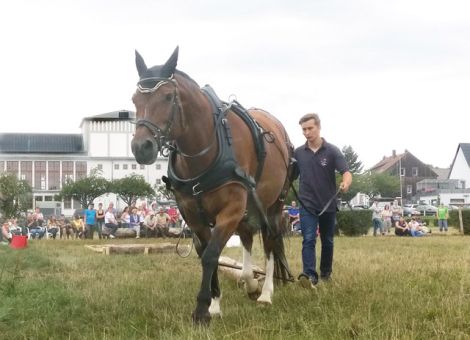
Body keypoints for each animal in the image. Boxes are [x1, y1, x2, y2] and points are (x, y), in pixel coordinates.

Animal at [131, 47, 294, 324]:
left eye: (167, 97)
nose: (141, 147)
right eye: (134, 100)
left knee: (271, 241)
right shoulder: (193, 215)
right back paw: (250, 282)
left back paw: (266, 292)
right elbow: (208, 253)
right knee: (248, 236)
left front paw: (201, 310)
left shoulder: (230, 210)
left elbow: (211, 255)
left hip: (274, 204)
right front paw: (214, 305)